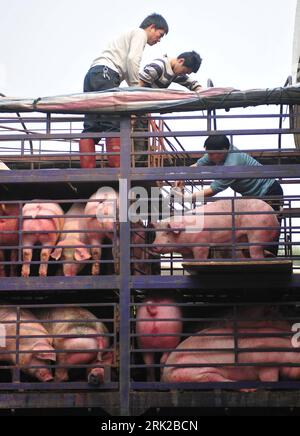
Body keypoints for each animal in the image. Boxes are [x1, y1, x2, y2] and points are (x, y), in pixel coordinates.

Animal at [151, 199, 280, 260]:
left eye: (167, 232)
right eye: (156, 233)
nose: (154, 245)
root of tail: (274, 217)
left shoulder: (201, 243)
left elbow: (200, 257)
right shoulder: (186, 252)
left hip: (257, 233)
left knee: (256, 252)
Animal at [162, 322, 300, 386]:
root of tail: (165, 375)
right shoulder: (266, 363)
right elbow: (270, 378)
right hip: (194, 371)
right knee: (216, 379)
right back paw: (247, 388)